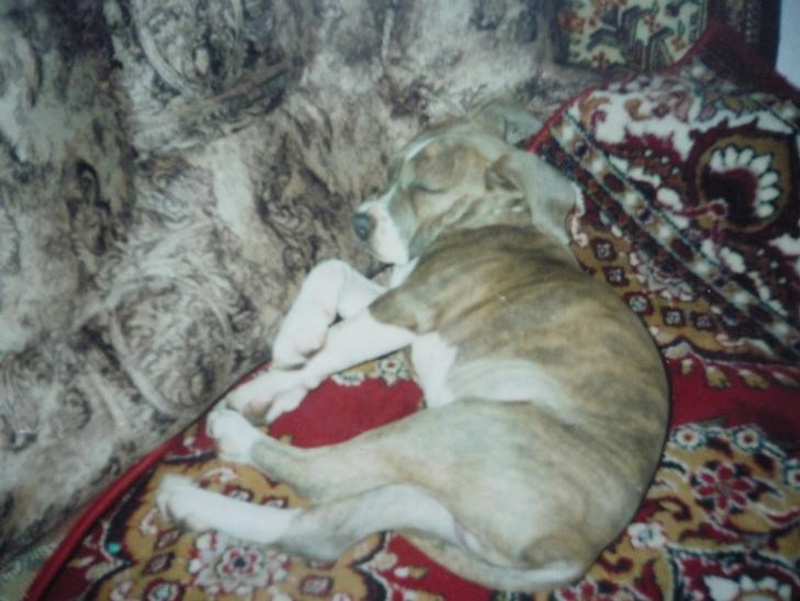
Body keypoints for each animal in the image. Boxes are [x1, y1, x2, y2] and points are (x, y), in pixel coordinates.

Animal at [157, 99, 669, 592]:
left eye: (425, 188)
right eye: (389, 171)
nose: (359, 222)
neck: (492, 220)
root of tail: (577, 556)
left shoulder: (406, 307)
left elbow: (334, 342)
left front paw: (277, 372)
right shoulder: (393, 294)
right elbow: (330, 271)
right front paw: (292, 355)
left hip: (454, 430)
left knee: (322, 475)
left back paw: (230, 437)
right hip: (420, 497)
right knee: (323, 530)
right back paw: (191, 503)